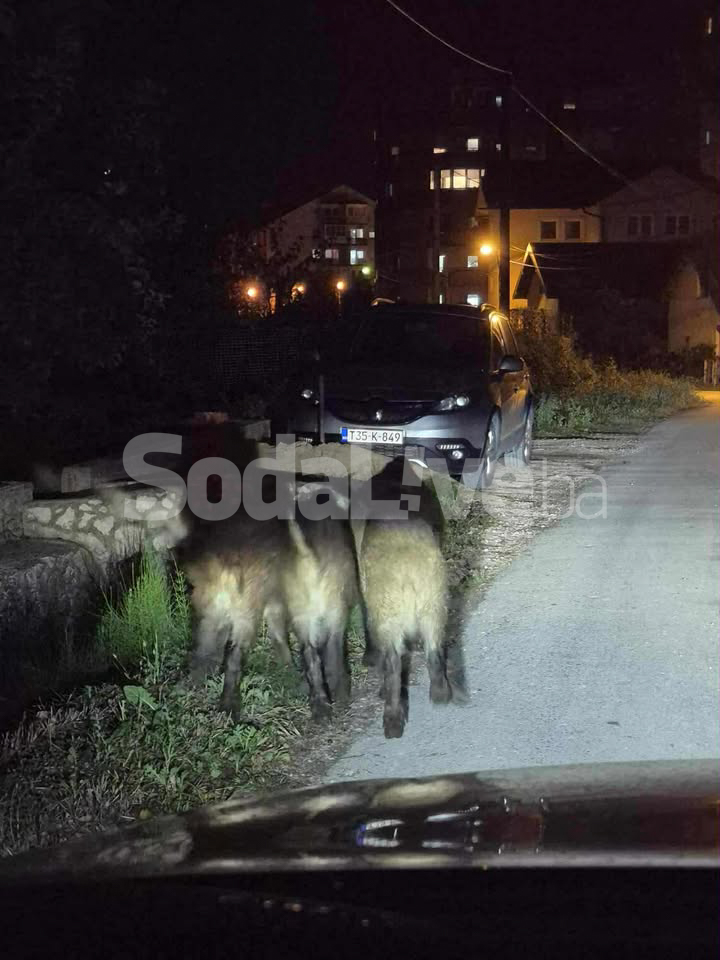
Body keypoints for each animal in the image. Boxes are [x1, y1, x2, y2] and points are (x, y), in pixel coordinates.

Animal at [356, 458, 451, 738]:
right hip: (434, 604)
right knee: (434, 651)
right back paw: (440, 693)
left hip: (387, 616)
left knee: (393, 665)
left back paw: (392, 722)